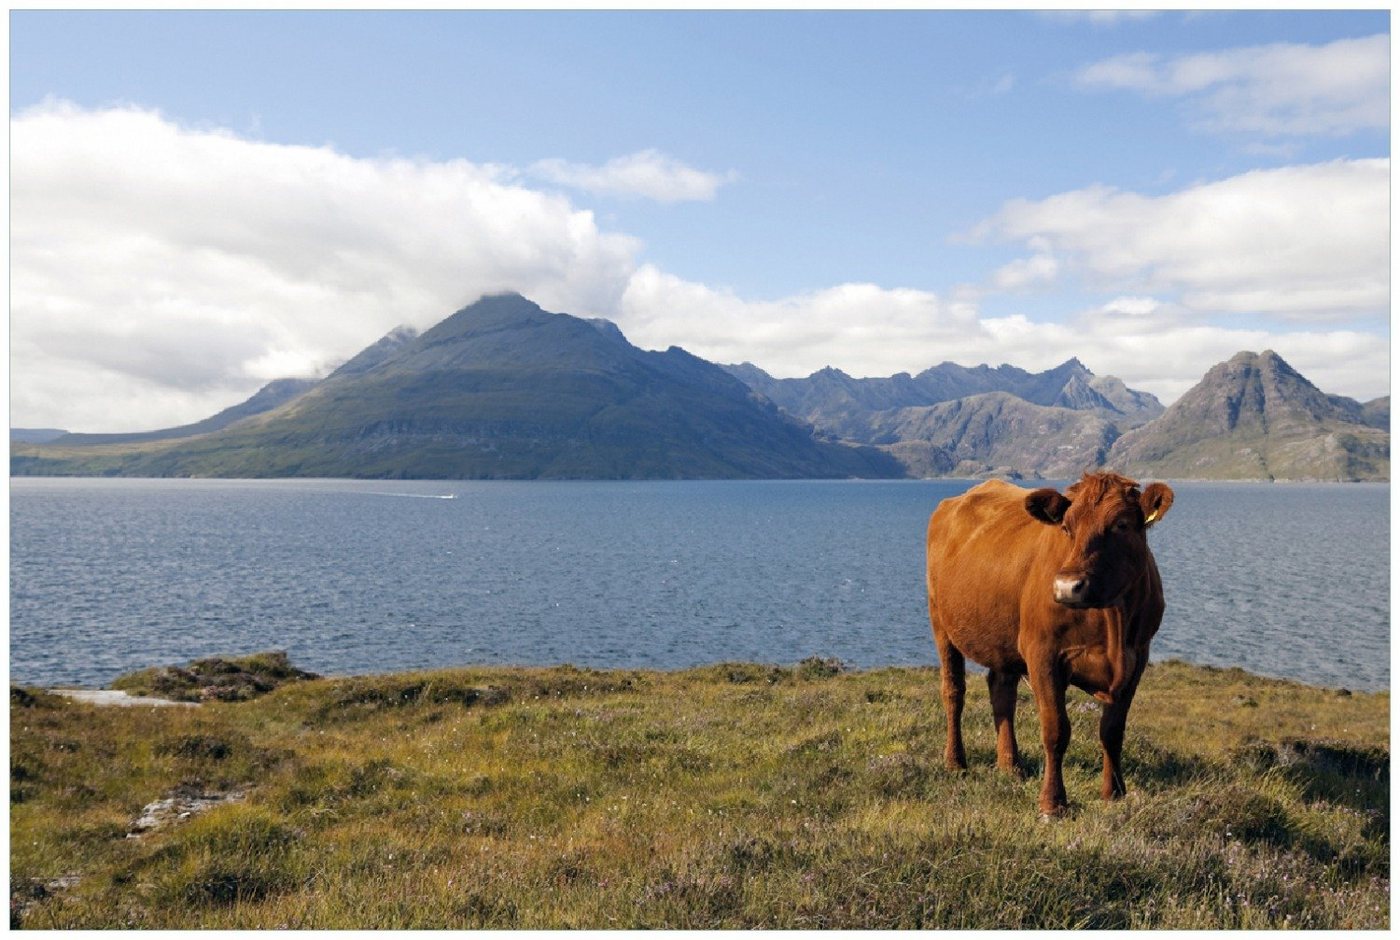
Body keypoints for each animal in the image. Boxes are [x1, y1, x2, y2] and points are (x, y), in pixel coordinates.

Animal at [929, 470, 1170, 818]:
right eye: (1066, 527)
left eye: (1122, 524)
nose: (1068, 587)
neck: (1112, 620)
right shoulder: (1043, 653)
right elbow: (1056, 730)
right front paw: (1052, 803)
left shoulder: (1137, 657)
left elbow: (1112, 731)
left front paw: (1114, 793)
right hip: (941, 624)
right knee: (953, 692)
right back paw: (956, 762)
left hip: (1005, 641)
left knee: (1002, 692)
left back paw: (1011, 766)